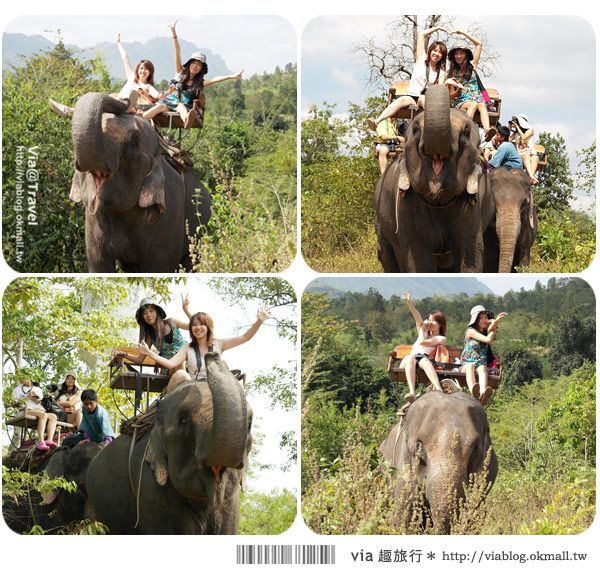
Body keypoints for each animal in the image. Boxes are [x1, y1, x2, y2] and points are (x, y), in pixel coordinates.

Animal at [67, 92, 211, 272]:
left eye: (134, 143)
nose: (125, 100)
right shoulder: (93, 222)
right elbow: (99, 265)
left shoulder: (168, 214)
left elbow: (159, 268)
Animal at [376, 84, 496, 272]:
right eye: (415, 129)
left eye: (466, 132)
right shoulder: (406, 206)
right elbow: (419, 260)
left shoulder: (471, 206)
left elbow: (470, 255)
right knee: (386, 253)